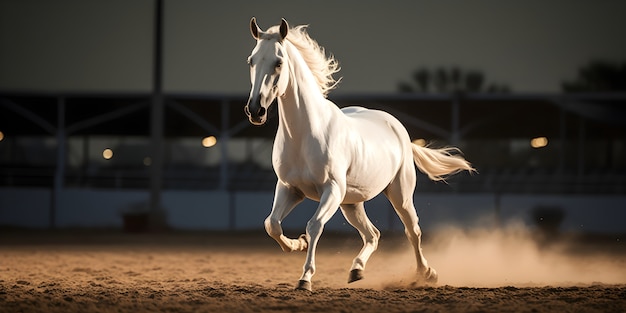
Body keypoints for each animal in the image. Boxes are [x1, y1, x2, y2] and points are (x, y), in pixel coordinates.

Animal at [244, 17, 472, 290]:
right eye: (251, 60)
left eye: (278, 62)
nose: (255, 110)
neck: (305, 134)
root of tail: (398, 128)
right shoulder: (290, 188)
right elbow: (272, 224)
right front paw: (298, 243)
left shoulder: (331, 189)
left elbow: (314, 225)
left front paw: (305, 278)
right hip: (351, 203)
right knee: (373, 235)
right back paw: (356, 270)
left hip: (399, 194)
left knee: (412, 231)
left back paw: (426, 273)